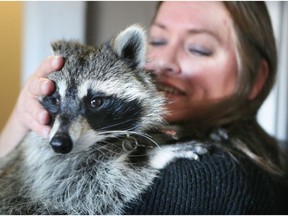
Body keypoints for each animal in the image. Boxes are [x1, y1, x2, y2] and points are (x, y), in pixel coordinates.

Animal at [0, 24, 208, 214]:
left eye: (96, 102)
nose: (59, 143)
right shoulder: (43, 164)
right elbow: (86, 188)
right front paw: (151, 156)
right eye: (55, 100)